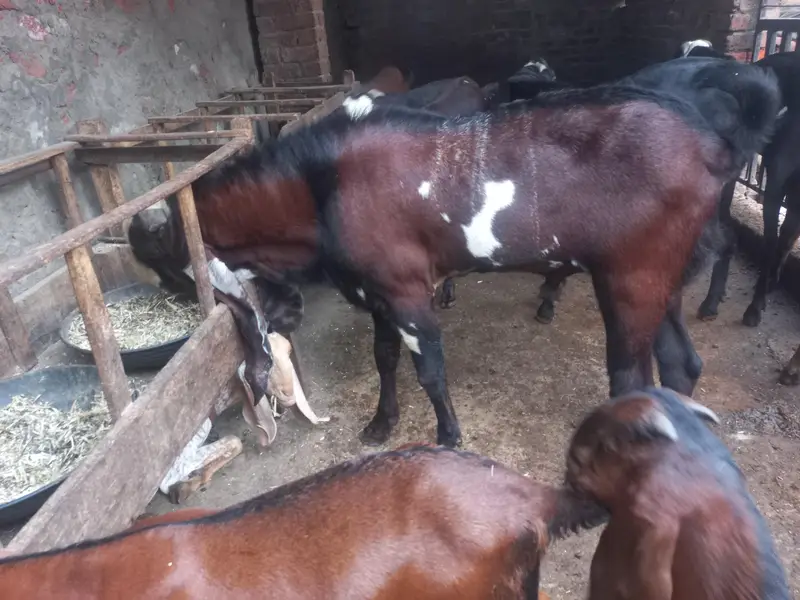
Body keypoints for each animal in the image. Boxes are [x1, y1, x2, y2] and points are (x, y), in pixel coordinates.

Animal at [127, 60, 779, 447]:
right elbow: (385, 357)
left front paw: (447, 435)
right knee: (680, 364)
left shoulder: (406, 287)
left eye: (172, 275)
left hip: (631, 278)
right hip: (659, 275)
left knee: (631, 377)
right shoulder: (376, 291)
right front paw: (380, 423)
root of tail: (710, 140)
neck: (322, 183)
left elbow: (429, 368)